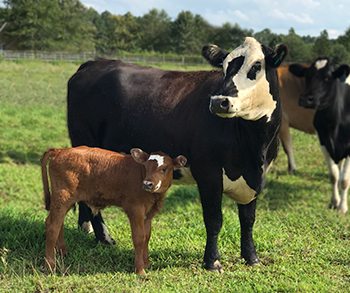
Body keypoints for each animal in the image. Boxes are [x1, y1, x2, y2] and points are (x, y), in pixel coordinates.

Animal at [41, 146, 187, 274]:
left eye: (164, 169)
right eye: (145, 167)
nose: (147, 184)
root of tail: (60, 150)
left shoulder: (148, 214)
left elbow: (146, 236)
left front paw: (146, 264)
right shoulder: (135, 210)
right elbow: (139, 238)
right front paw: (140, 270)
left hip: (63, 201)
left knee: (59, 223)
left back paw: (62, 252)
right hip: (63, 197)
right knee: (52, 225)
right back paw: (50, 265)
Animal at [67, 37, 288, 272]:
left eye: (256, 66)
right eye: (224, 67)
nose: (218, 101)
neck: (253, 148)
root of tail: (94, 63)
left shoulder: (255, 178)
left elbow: (248, 220)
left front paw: (251, 257)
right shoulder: (208, 173)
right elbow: (214, 219)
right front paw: (212, 262)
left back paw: (88, 229)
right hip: (86, 142)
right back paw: (105, 237)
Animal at [290, 56, 350, 212]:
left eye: (328, 77)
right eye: (307, 75)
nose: (306, 99)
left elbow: (345, 180)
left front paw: (342, 207)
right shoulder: (323, 143)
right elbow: (334, 175)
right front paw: (334, 202)